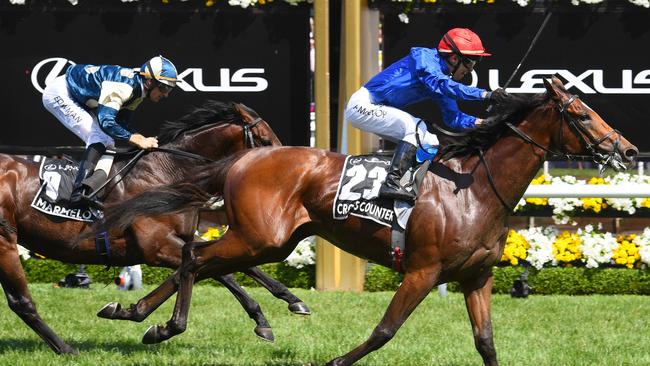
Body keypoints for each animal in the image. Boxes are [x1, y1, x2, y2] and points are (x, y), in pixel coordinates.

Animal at [0, 100, 312, 354]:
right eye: (264, 140)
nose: (291, 166)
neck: (167, 173)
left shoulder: (184, 238)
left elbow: (237, 267)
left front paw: (286, 304)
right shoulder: (156, 246)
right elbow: (219, 272)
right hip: (6, 240)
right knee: (22, 302)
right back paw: (67, 349)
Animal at [100, 76, 632, 364]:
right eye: (583, 115)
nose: (626, 150)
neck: (475, 188)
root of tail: (245, 157)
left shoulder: (475, 276)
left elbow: (486, 343)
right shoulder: (423, 271)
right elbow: (384, 331)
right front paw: (336, 360)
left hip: (269, 241)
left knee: (199, 261)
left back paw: (135, 314)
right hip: (258, 237)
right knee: (195, 256)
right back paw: (163, 324)